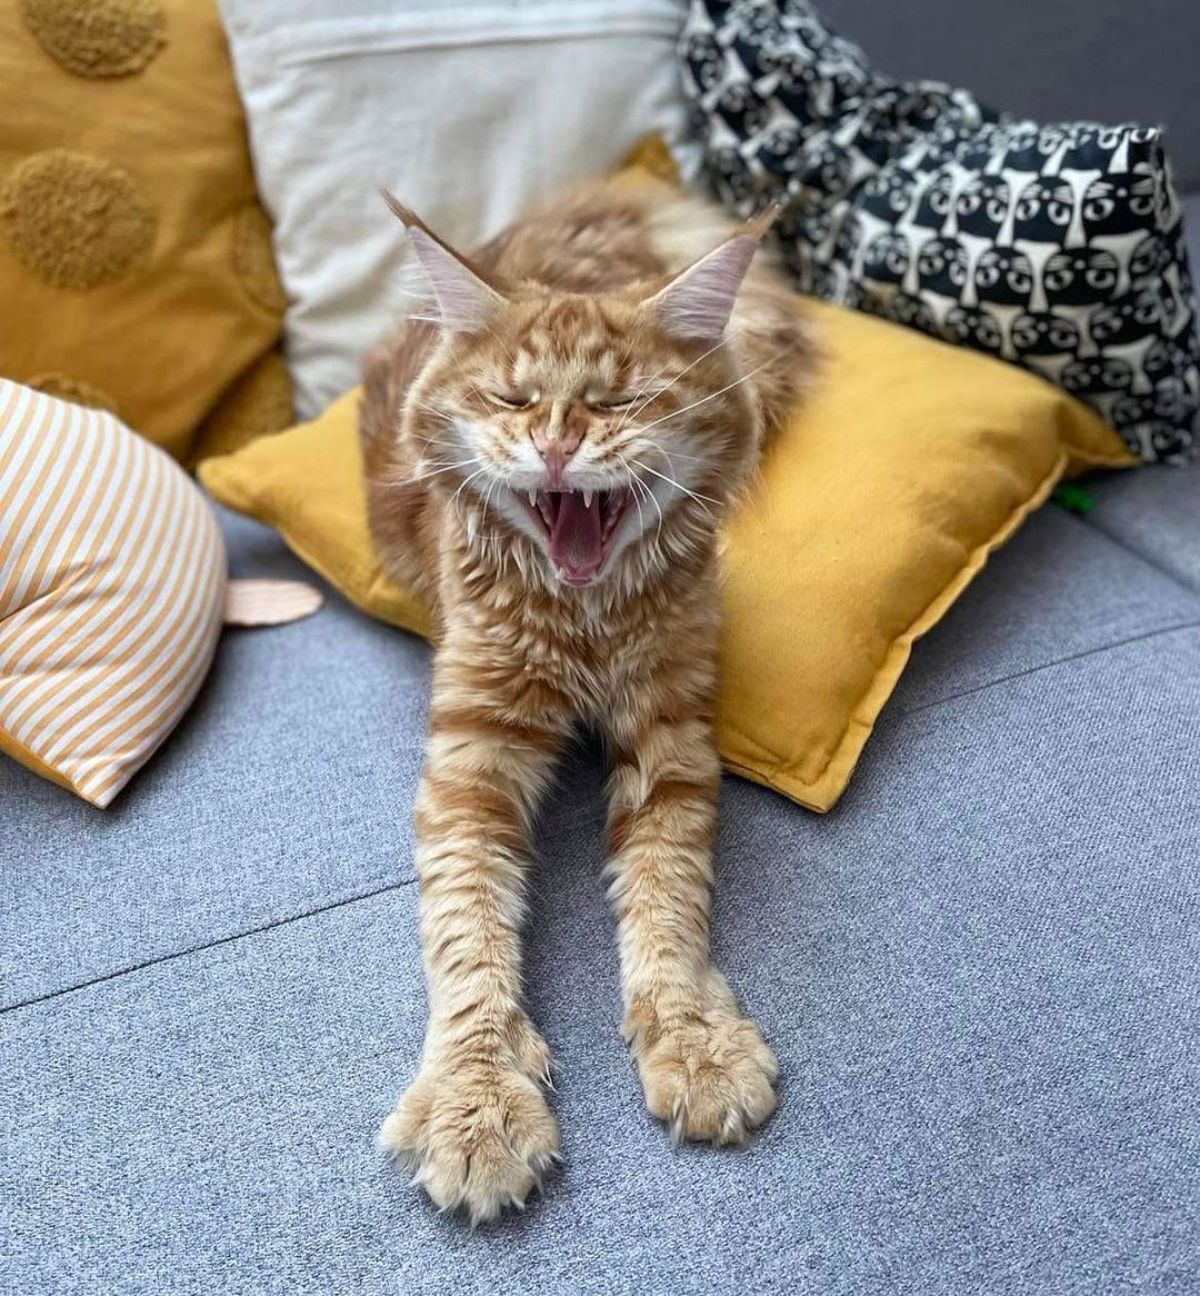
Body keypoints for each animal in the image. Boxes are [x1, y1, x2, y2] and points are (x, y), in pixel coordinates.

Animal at [362, 172, 813, 1223]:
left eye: (619, 399)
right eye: (513, 397)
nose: (558, 443)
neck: (584, 623)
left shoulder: (672, 740)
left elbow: (667, 905)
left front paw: (692, 1041)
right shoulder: (471, 760)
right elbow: (468, 937)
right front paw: (477, 1104)